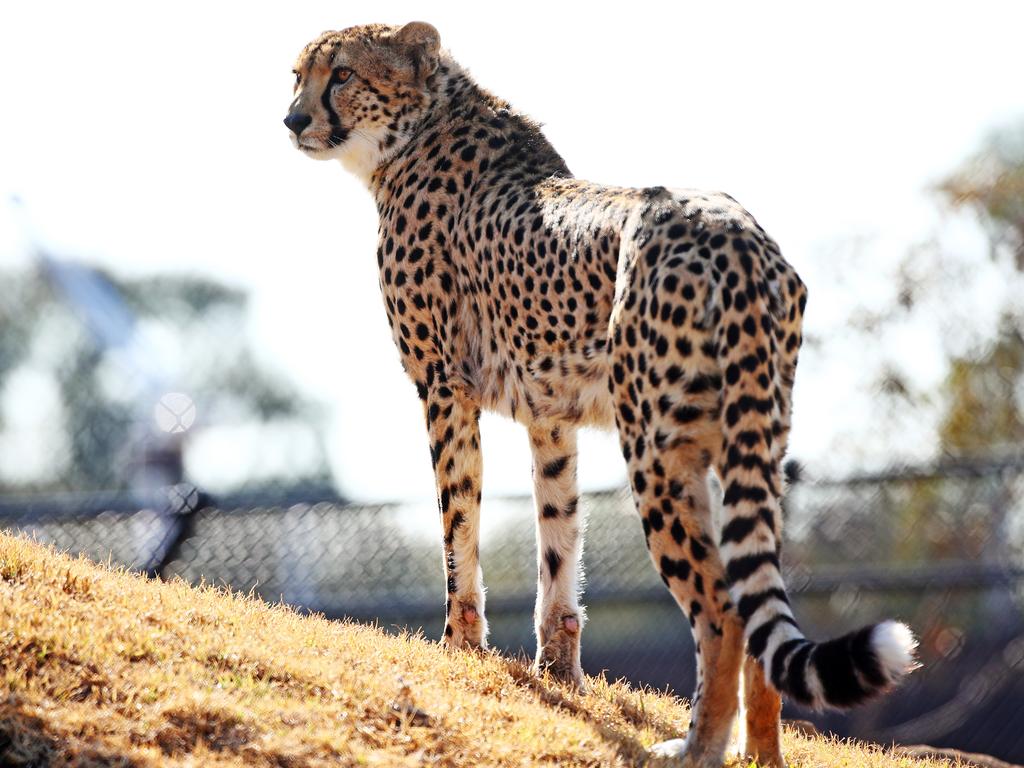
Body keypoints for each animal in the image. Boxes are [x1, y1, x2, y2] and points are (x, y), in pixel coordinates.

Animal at [284, 20, 917, 765]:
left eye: (342, 74)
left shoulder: (443, 384)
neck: (419, 128)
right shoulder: (549, 415)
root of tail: (734, 232)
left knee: (720, 607)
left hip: (655, 447)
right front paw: (558, 671)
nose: (293, 119)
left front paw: (461, 646)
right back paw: (758, 751)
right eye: (297, 75)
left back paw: (698, 745)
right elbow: (557, 538)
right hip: (748, 444)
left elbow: (458, 524)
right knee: (752, 591)